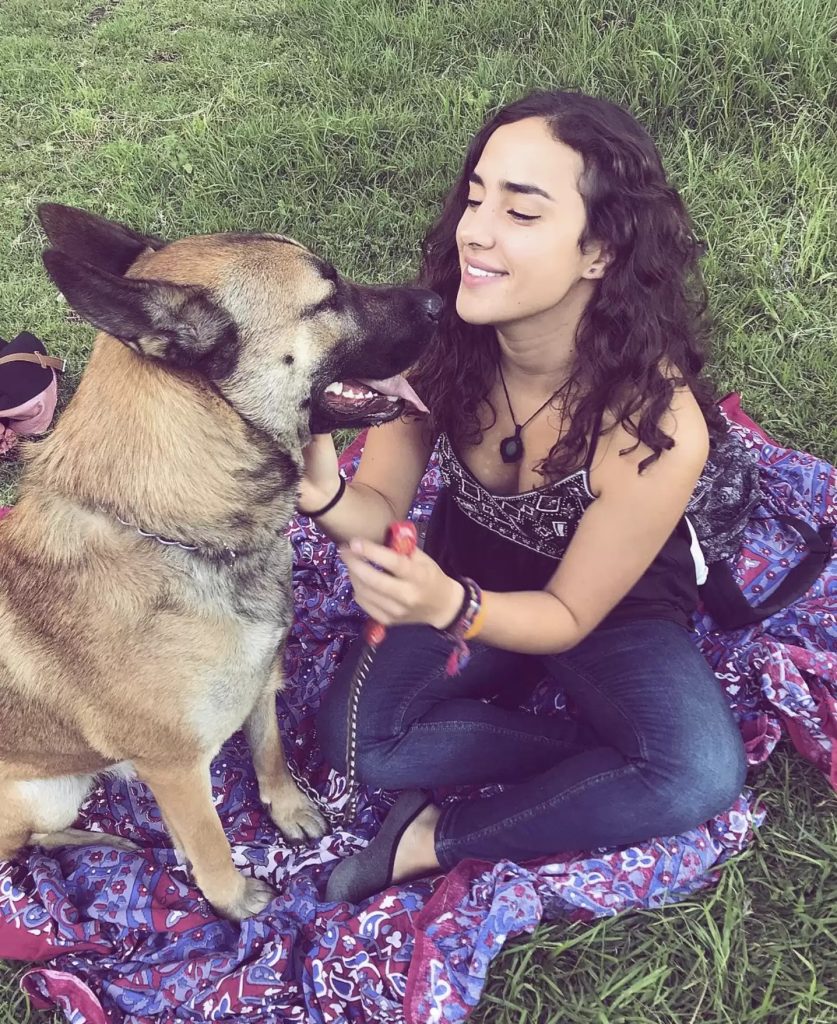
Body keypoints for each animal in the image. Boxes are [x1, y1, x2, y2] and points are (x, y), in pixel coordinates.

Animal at [0, 205, 440, 921]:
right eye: (326, 297)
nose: (440, 301)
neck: (175, 530)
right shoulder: (176, 767)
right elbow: (208, 838)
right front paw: (234, 899)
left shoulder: (263, 681)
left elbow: (268, 748)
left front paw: (286, 808)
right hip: (48, 792)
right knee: (28, 841)